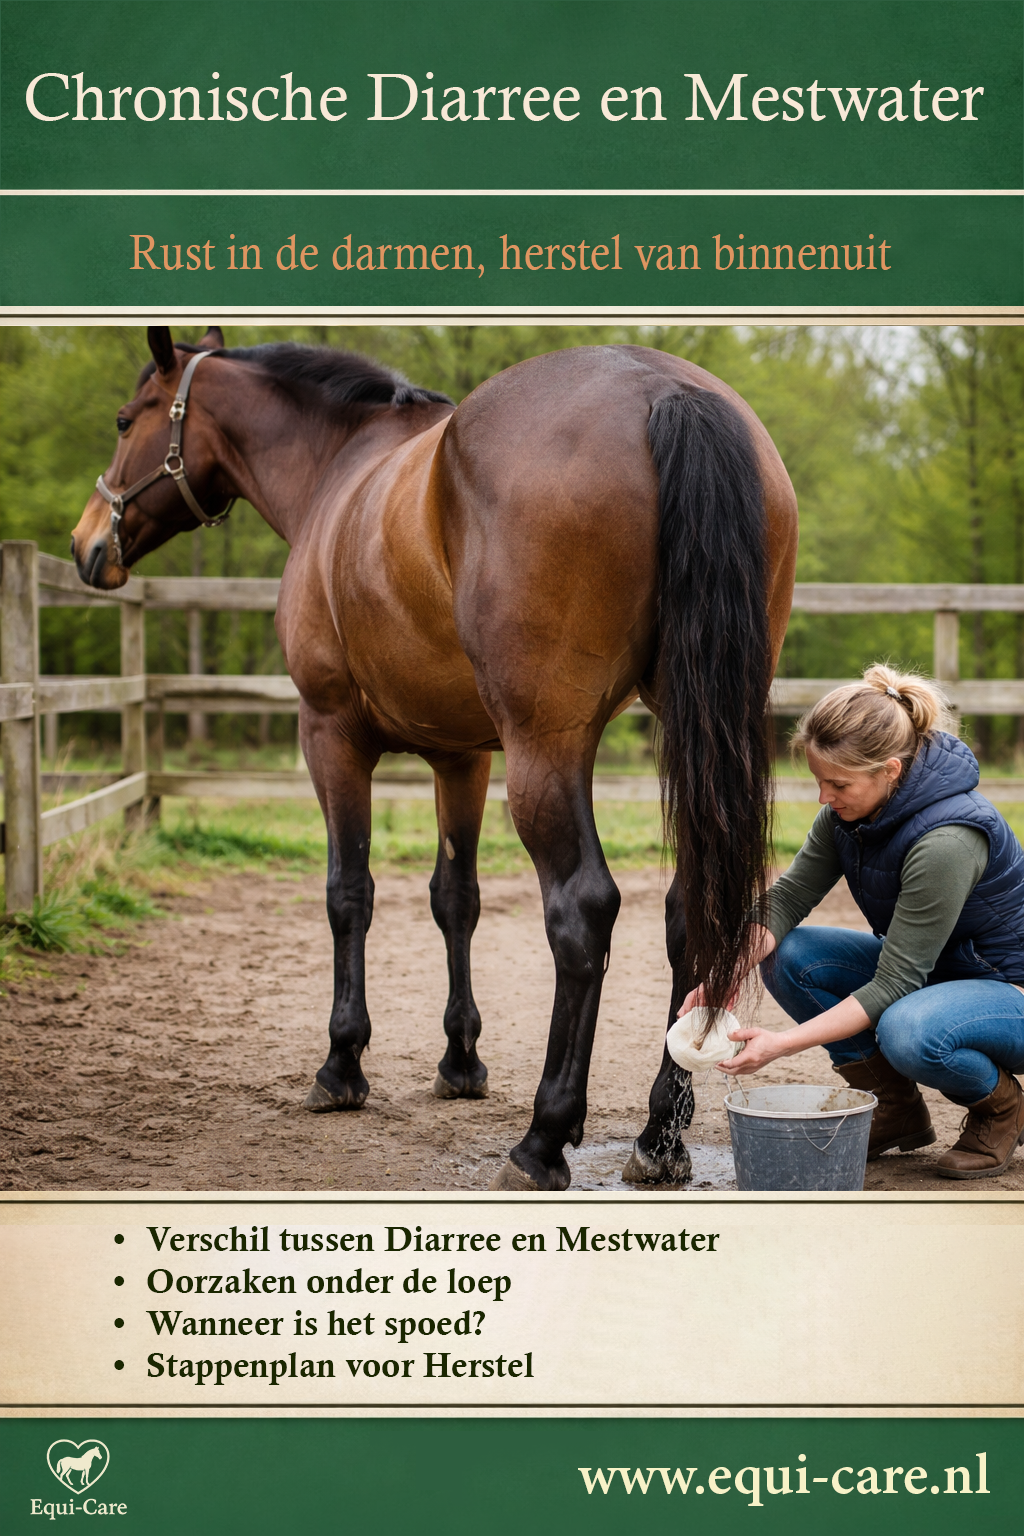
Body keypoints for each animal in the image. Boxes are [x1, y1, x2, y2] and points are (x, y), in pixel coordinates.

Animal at [72, 326, 797, 1192]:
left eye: (125, 421)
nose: (87, 543)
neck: (338, 466)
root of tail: (663, 390)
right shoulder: (462, 758)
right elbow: (457, 899)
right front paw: (461, 1060)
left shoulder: (330, 733)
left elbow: (349, 892)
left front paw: (342, 1066)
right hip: (690, 724)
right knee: (689, 910)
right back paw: (659, 1137)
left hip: (545, 747)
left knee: (583, 911)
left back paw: (543, 1138)